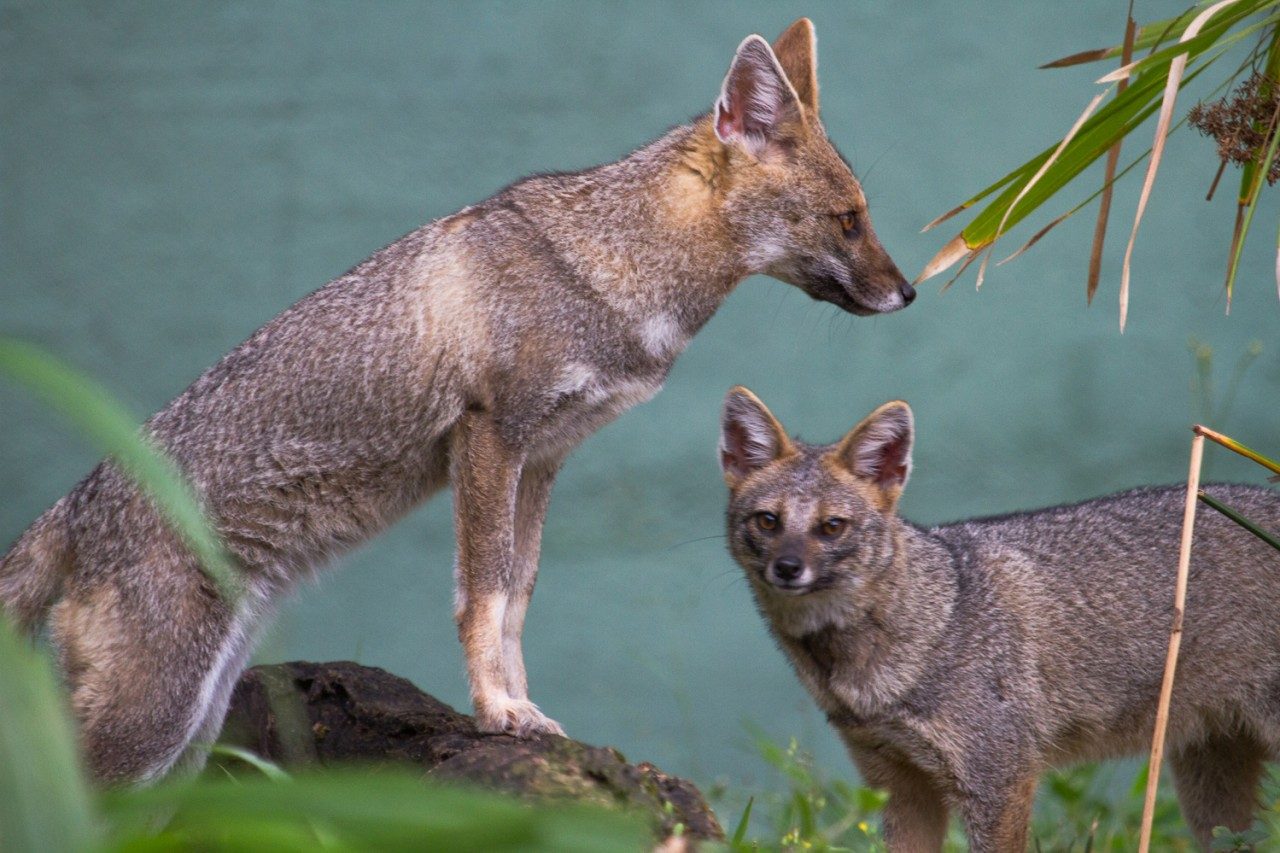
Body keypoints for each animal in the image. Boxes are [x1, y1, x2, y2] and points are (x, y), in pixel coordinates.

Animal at [0, 19, 913, 783]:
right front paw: (497, 709)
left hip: (191, 734)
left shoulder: (544, 457)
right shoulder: (489, 438)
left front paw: (523, 708)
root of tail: (72, 504)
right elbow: (483, 593)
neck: (612, 272)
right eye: (848, 220)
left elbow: (517, 595)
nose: (907, 293)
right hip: (154, 721)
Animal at [719, 386, 1280, 852]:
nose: (787, 568)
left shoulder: (999, 780)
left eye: (832, 527)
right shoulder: (899, 784)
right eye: (768, 521)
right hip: (1211, 790)